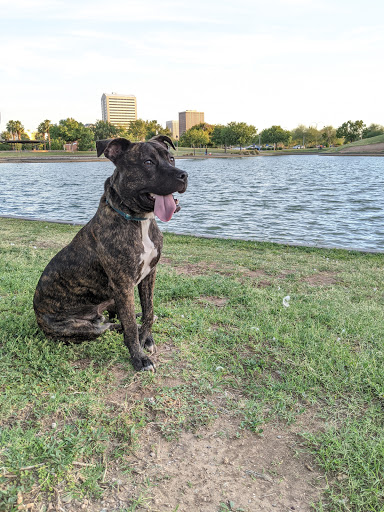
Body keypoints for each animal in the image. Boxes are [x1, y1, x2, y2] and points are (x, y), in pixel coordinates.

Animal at [33, 134, 187, 370]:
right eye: (148, 162)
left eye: (171, 158)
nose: (184, 175)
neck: (138, 221)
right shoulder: (123, 284)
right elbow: (130, 326)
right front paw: (139, 357)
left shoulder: (149, 275)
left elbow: (149, 310)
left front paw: (147, 338)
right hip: (79, 326)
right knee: (109, 326)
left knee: (117, 317)